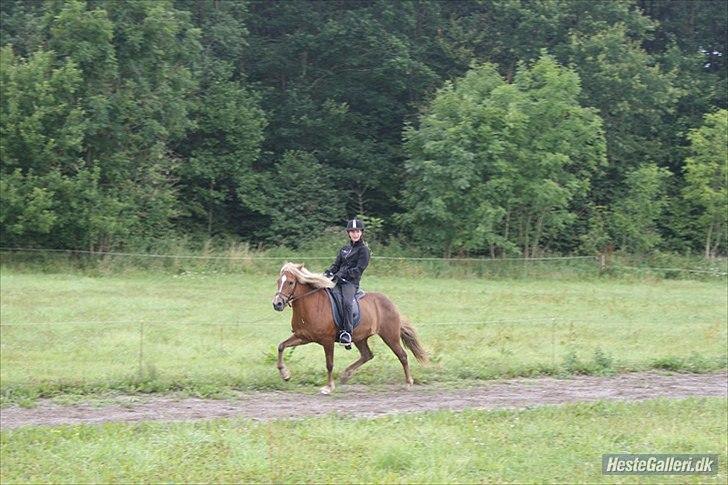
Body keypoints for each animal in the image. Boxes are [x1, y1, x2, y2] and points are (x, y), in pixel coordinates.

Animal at [270, 260, 426, 394]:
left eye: (290, 282)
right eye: (278, 281)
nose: (277, 304)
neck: (311, 305)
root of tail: (391, 303)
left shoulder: (327, 341)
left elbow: (329, 364)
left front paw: (328, 387)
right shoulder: (303, 337)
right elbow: (281, 346)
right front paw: (285, 374)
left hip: (390, 336)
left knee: (402, 355)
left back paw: (408, 382)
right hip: (360, 338)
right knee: (367, 355)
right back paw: (346, 374)